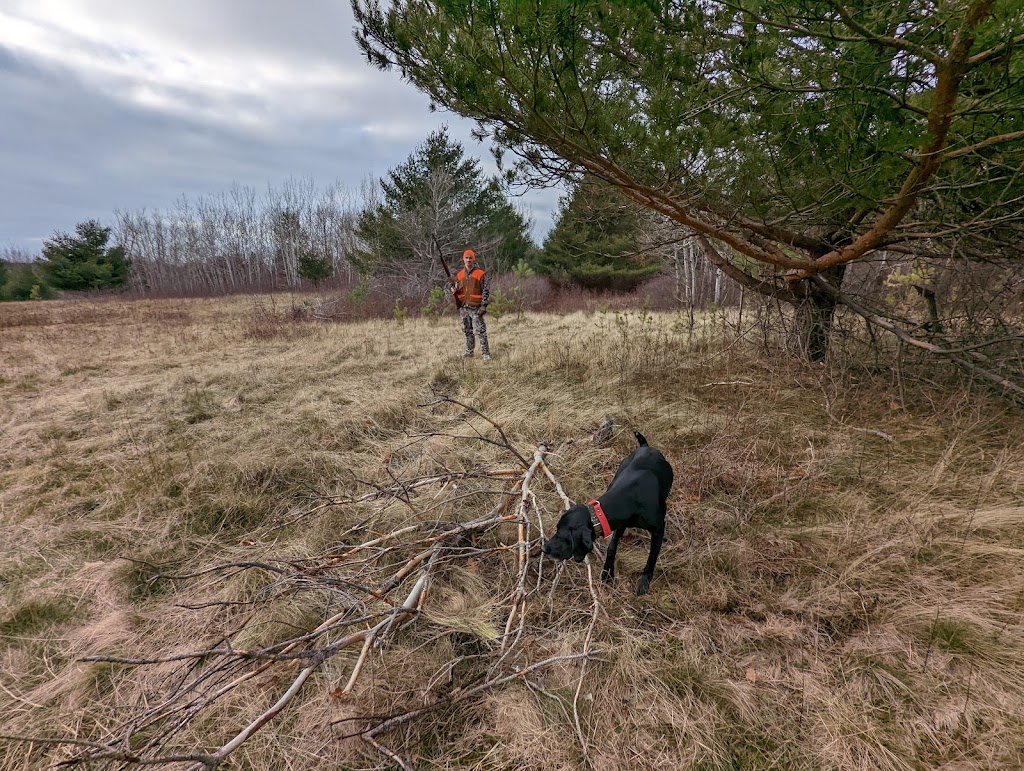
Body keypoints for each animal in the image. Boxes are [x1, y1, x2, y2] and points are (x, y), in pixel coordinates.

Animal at [540, 430, 675, 593]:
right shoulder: (618, 524)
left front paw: (644, 582)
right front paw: (607, 573)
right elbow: (611, 548)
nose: (543, 548)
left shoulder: (659, 529)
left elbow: (652, 557)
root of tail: (646, 447)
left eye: (561, 534)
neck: (631, 497)